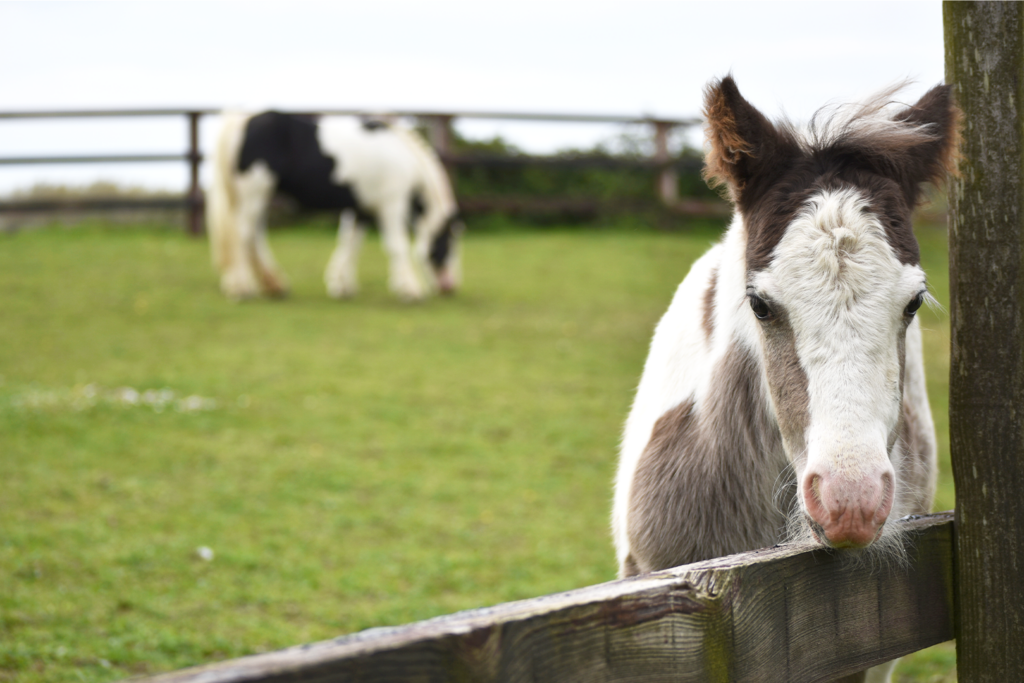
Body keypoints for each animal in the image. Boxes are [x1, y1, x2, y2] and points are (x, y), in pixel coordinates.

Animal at [205, 112, 462, 301]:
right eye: (447, 246)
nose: (450, 286)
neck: (404, 157)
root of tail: (243, 120)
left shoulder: (362, 209)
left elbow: (350, 244)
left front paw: (342, 286)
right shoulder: (391, 204)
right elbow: (396, 245)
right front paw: (410, 290)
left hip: (259, 195)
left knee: (254, 237)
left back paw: (274, 286)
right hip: (255, 192)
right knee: (242, 236)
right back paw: (241, 288)